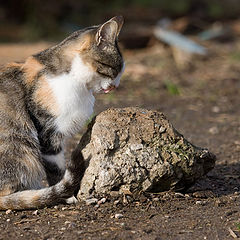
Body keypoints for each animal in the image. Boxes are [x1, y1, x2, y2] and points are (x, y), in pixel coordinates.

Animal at [0, 15, 124, 209]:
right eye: (114, 69)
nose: (116, 86)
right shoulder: (48, 132)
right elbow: (56, 169)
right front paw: (66, 195)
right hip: (20, 148)